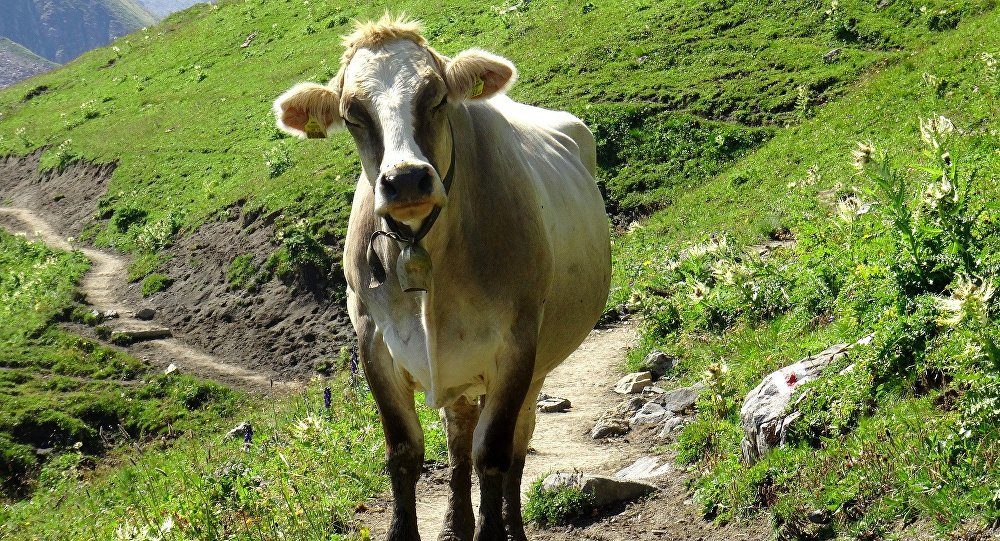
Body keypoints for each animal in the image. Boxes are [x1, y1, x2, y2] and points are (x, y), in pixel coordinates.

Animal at [273, 14, 611, 541]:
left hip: (537, 366)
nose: (406, 179)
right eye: (353, 114)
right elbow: (405, 453)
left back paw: (512, 526)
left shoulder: (516, 347)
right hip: (459, 364)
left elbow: (492, 454)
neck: (424, 248)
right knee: (458, 440)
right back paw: (455, 524)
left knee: (515, 448)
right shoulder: (373, 342)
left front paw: (493, 532)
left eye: (436, 97)